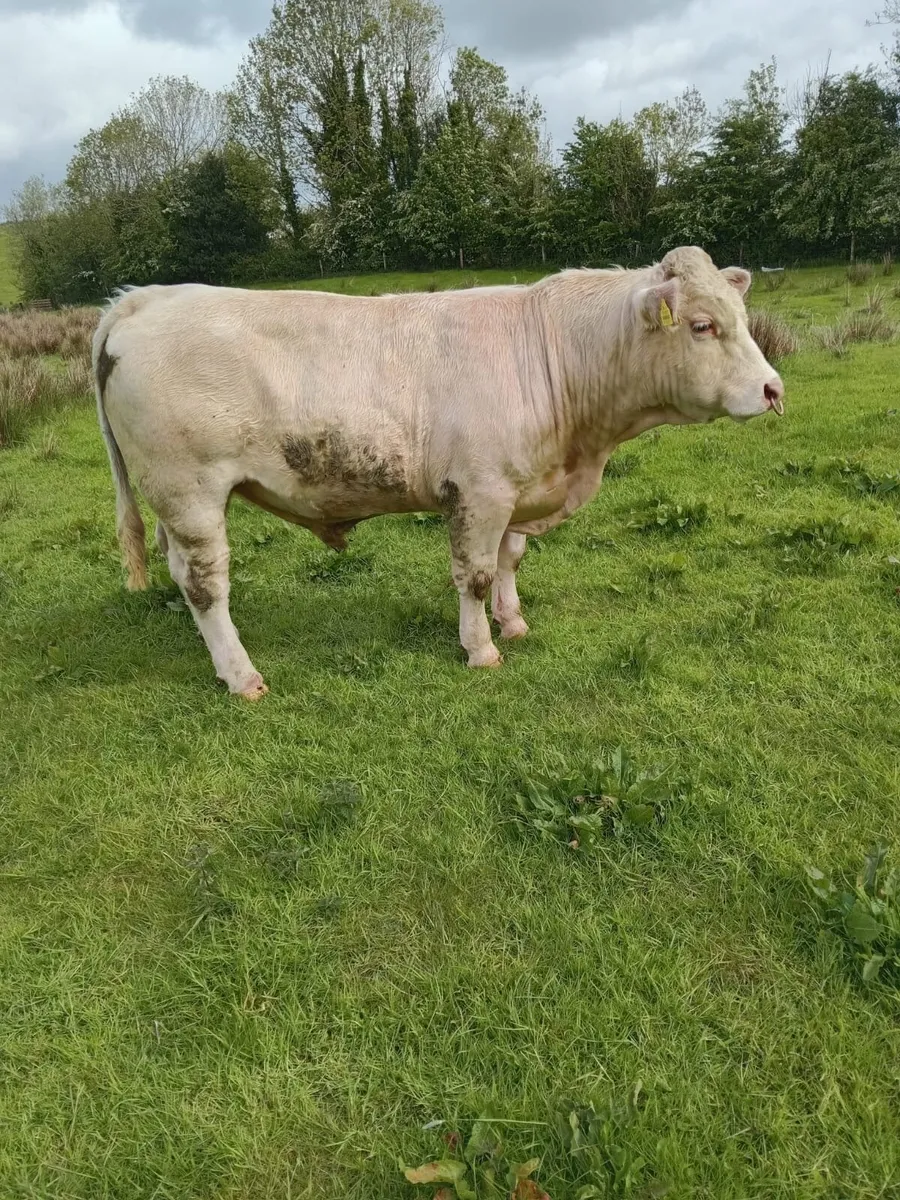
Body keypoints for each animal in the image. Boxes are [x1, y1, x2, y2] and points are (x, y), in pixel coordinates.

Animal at [93, 246, 784, 699]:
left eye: (741, 315)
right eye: (702, 325)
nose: (774, 389)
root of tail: (146, 298)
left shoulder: (515, 489)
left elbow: (509, 561)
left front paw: (514, 621)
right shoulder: (480, 492)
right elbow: (474, 575)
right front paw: (481, 649)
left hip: (176, 505)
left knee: (181, 574)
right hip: (191, 492)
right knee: (207, 585)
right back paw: (241, 676)